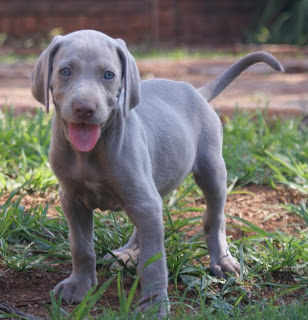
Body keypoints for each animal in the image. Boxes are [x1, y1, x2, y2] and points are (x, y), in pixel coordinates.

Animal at [31, 30, 284, 318]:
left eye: (108, 75)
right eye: (64, 71)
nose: (85, 108)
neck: (90, 153)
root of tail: (196, 91)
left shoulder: (144, 201)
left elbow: (154, 261)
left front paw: (154, 304)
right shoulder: (72, 200)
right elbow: (81, 246)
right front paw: (79, 286)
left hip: (211, 169)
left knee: (214, 216)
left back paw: (221, 260)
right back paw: (127, 253)